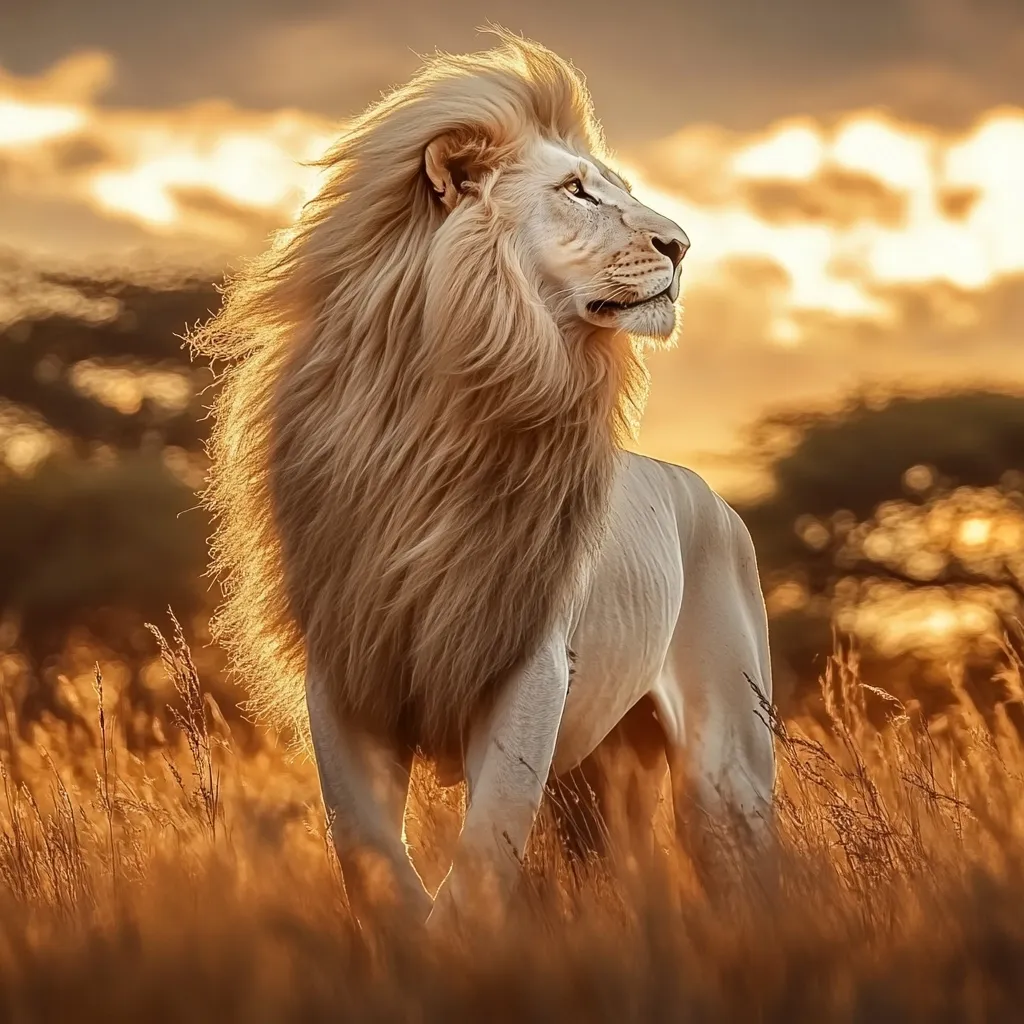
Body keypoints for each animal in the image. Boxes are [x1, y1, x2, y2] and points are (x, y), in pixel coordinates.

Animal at [191, 30, 775, 925]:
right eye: (577, 192)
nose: (682, 245)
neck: (435, 423)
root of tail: (712, 494)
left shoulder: (526, 664)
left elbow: (479, 866)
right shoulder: (347, 665)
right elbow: (370, 858)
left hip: (726, 768)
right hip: (603, 774)